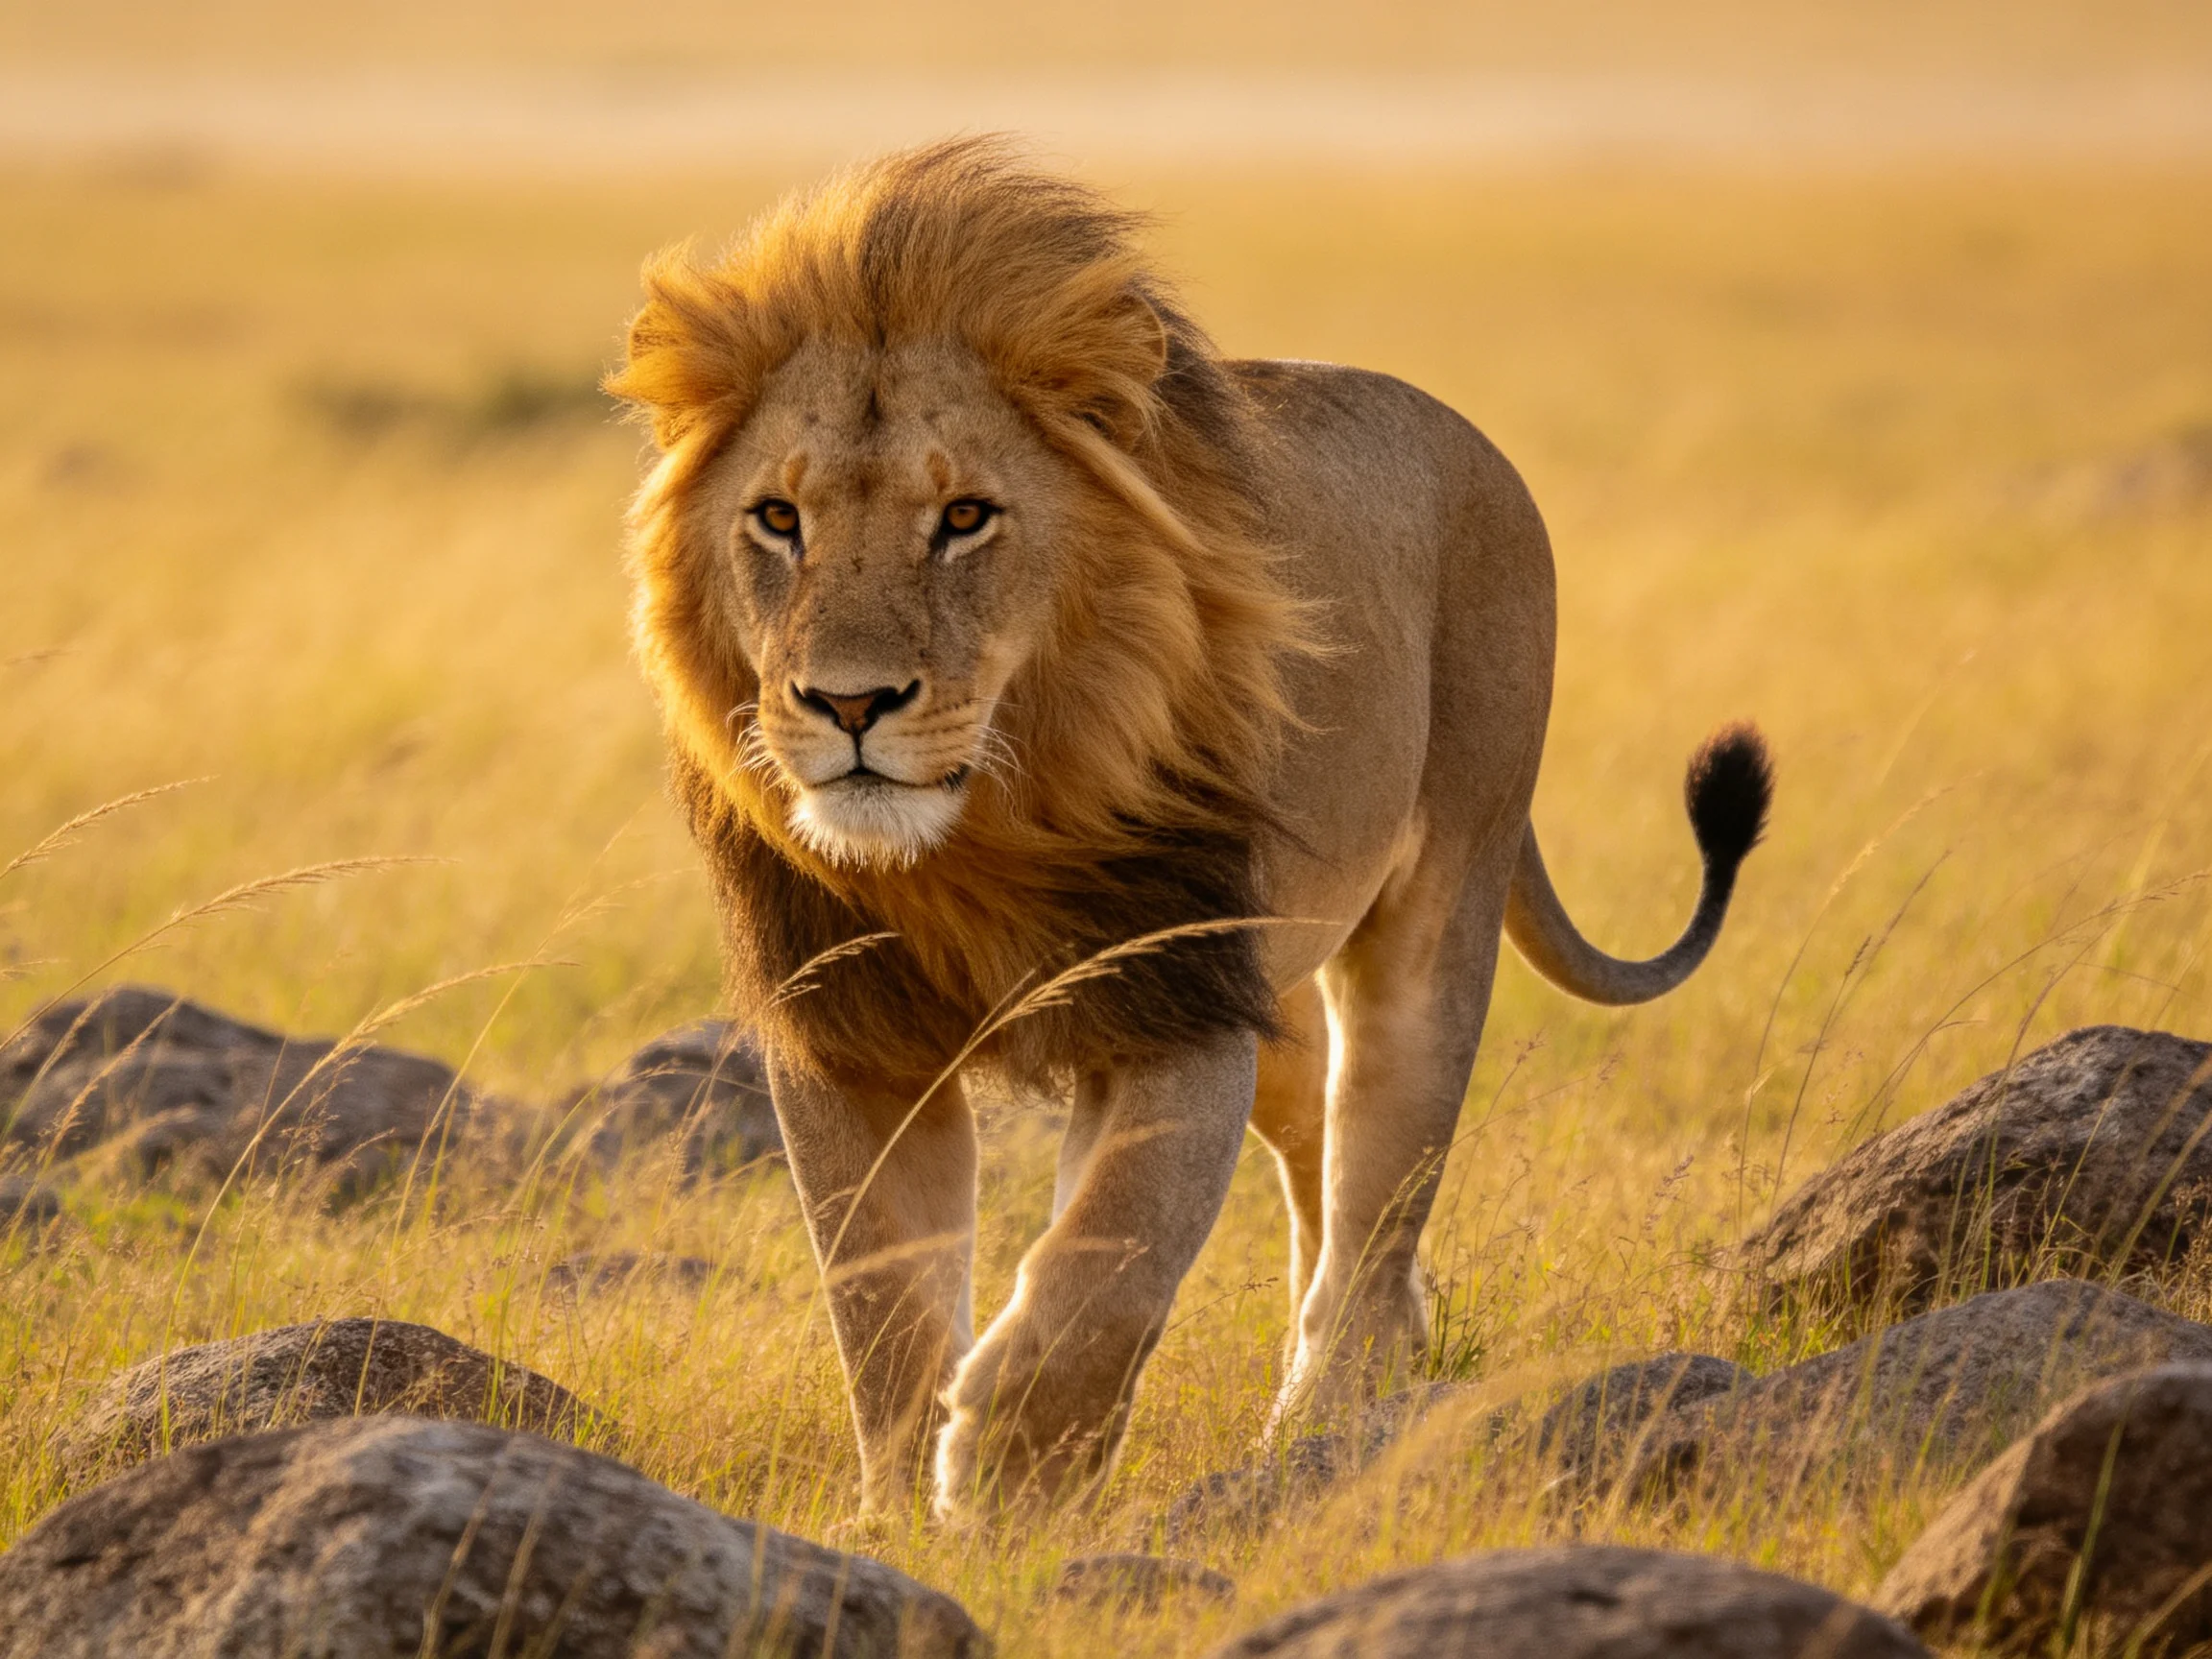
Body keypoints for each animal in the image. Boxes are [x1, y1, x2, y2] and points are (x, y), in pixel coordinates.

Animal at [609, 138, 1773, 1521]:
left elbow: (1111, 1256)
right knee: (1326, 1166)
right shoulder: (853, 1037)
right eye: (778, 520)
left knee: (1379, 1193)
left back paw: (1325, 1424)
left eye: (966, 519)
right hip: (1274, 998)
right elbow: (881, 1304)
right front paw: (900, 1510)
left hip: (1436, 909)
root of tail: (1470, 440)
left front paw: (1008, 1479)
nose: (848, 703)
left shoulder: (1168, 1002)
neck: (978, 833)